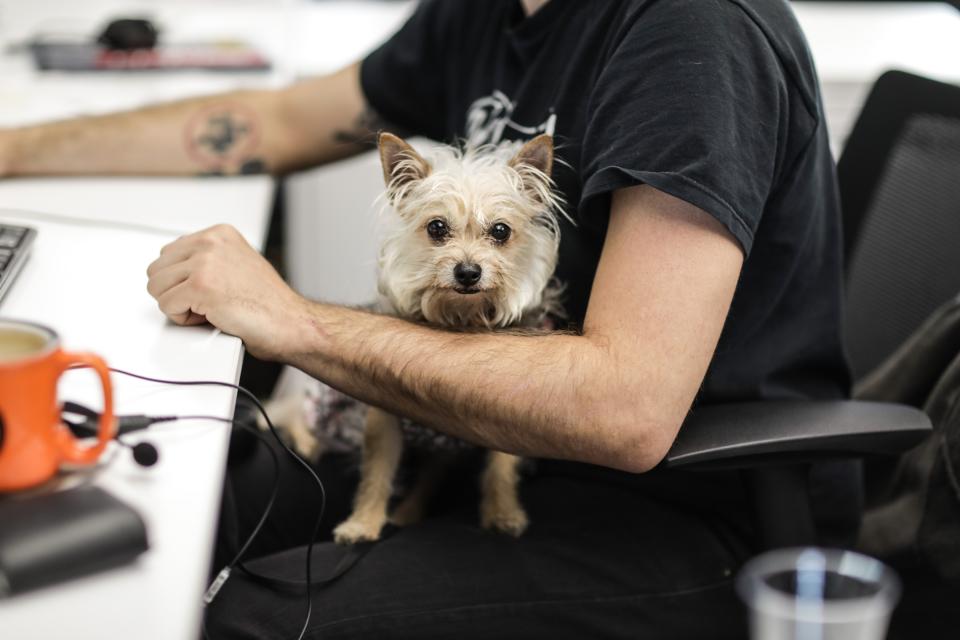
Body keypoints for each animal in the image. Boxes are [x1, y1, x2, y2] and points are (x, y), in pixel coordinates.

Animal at [274, 132, 568, 544]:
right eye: (437, 228)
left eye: (500, 231)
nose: (468, 272)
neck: (461, 316)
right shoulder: (382, 418)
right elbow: (377, 472)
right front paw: (363, 523)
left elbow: (500, 468)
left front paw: (503, 512)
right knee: (284, 412)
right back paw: (308, 440)